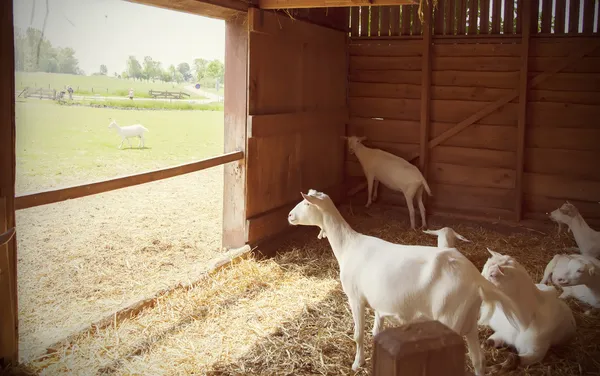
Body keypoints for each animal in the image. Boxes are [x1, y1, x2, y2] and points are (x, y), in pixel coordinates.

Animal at [288, 189, 528, 374]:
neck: (348, 246)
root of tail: (477, 280)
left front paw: (357, 363)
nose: (290, 215)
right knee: (479, 361)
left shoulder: (356, 298)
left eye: (306, 203)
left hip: (450, 320)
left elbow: (358, 335)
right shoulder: (379, 304)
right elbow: (376, 332)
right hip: (468, 321)